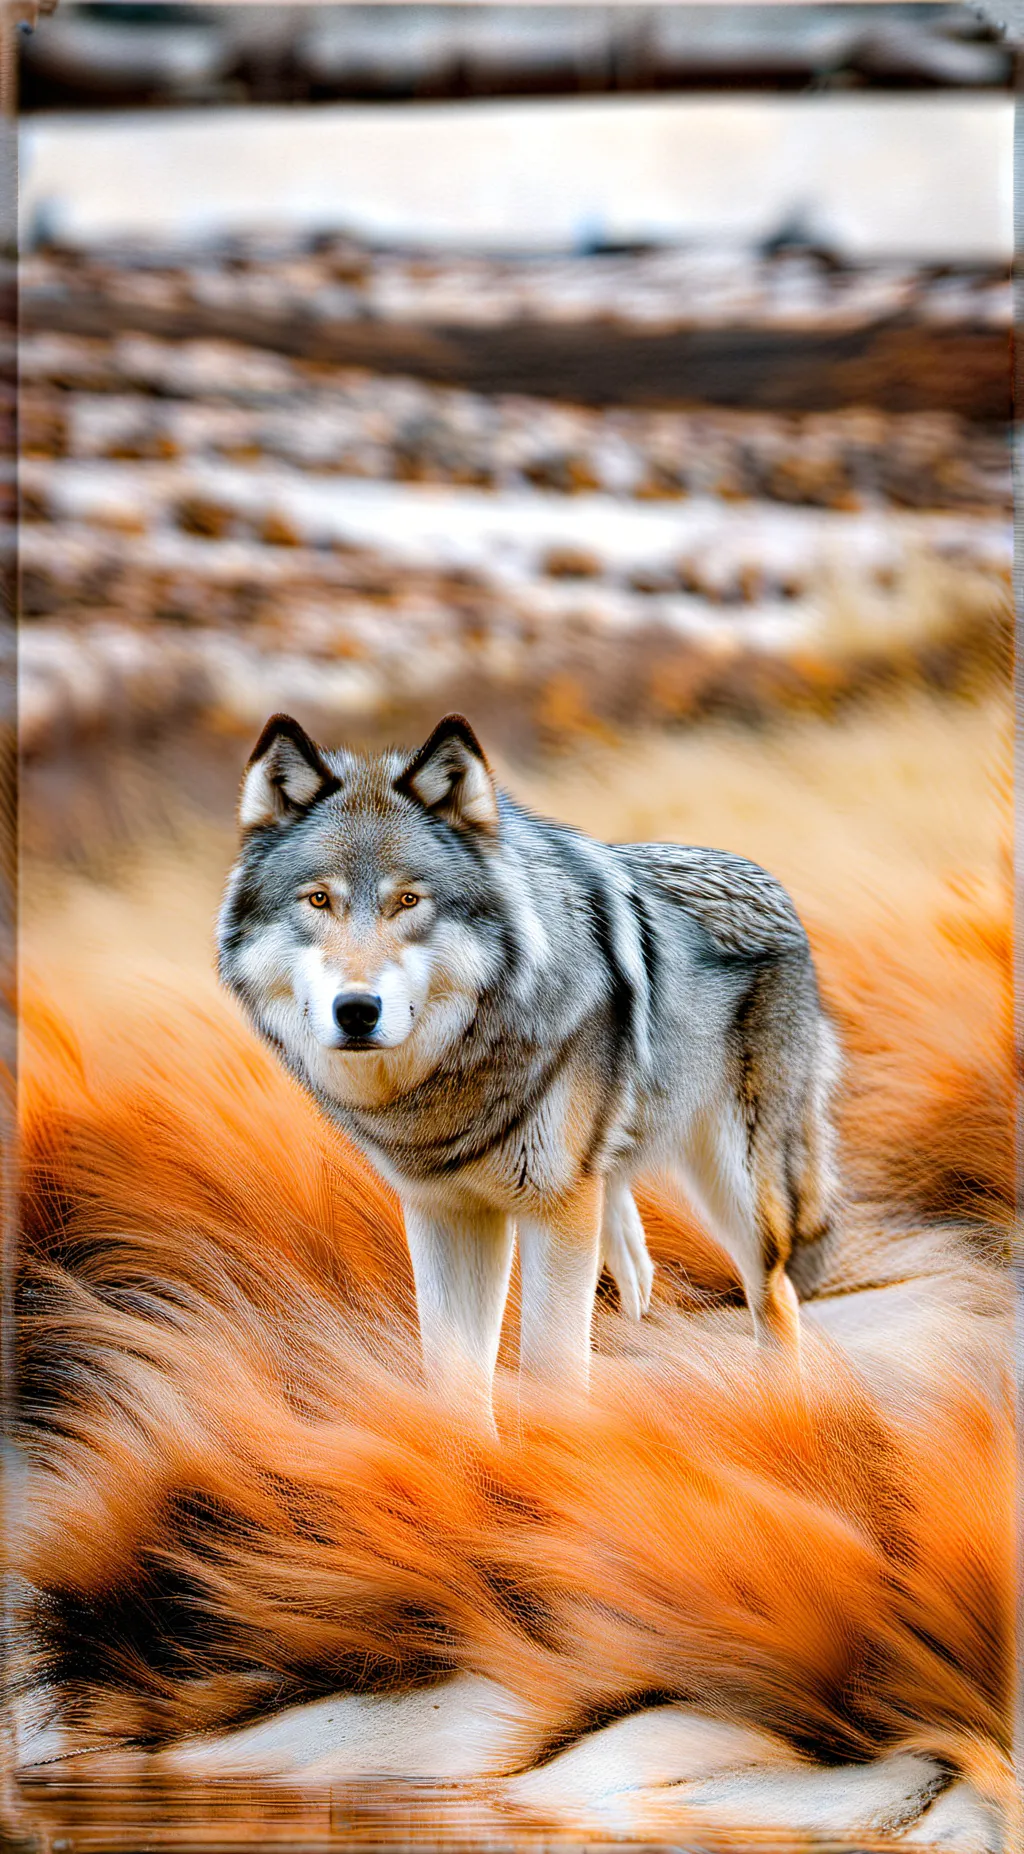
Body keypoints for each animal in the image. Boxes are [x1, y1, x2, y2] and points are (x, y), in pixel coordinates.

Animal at [217, 712, 841, 1420]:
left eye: (409, 901)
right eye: (319, 900)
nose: (356, 1012)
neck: (452, 1083)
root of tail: (766, 878)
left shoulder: (555, 1208)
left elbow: (553, 1371)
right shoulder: (446, 1214)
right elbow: (454, 1381)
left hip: (737, 1186)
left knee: (776, 1296)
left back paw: (786, 1412)